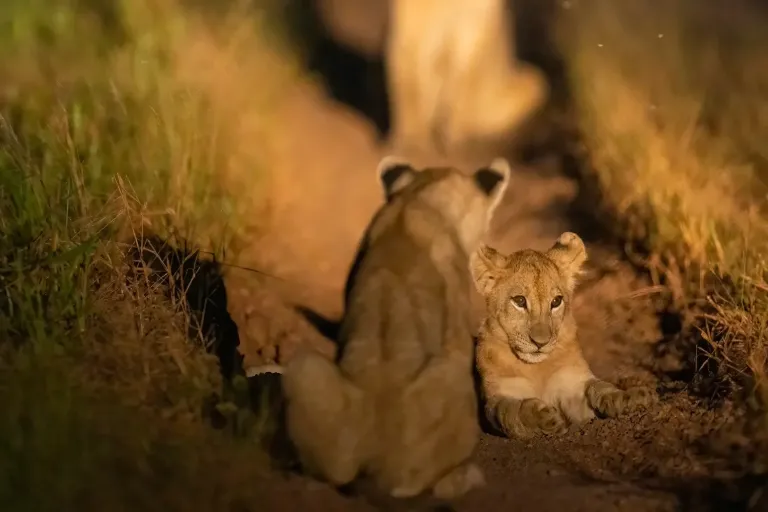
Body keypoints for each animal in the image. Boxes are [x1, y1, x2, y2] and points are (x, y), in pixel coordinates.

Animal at [386, 0, 549, 156]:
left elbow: (464, 92)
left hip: (532, 79)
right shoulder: (413, 35)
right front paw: (412, 143)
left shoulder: (471, 36)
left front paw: (457, 142)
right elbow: (410, 94)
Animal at [469, 232, 655, 439]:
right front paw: (541, 419)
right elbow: (511, 411)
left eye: (556, 302)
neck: (536, 369)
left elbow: (597, 387)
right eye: (519, 301)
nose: (540, 343)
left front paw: (626, 397)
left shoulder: (571, 387)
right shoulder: (497, 399)